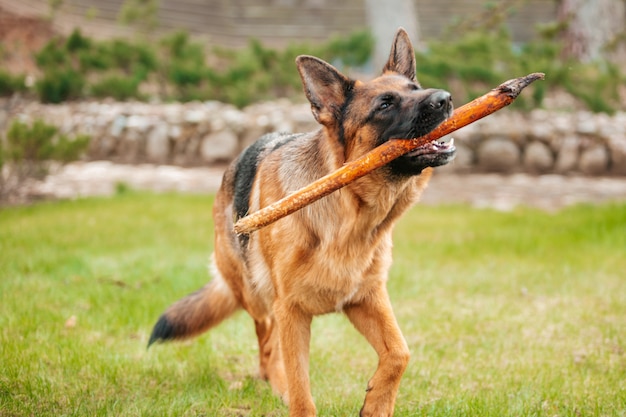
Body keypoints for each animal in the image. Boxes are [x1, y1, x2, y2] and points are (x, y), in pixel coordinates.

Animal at [149, 27, 456, 414]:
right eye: (385, 105)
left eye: (415, 89)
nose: (445, 99)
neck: (348, 212)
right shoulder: (292, 312)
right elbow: (300, 387)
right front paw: (296, 393)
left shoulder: (365, 298)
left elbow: (400, 353)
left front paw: (376, 404)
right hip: (257, 297)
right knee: (268, 349)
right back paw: (276, 382)